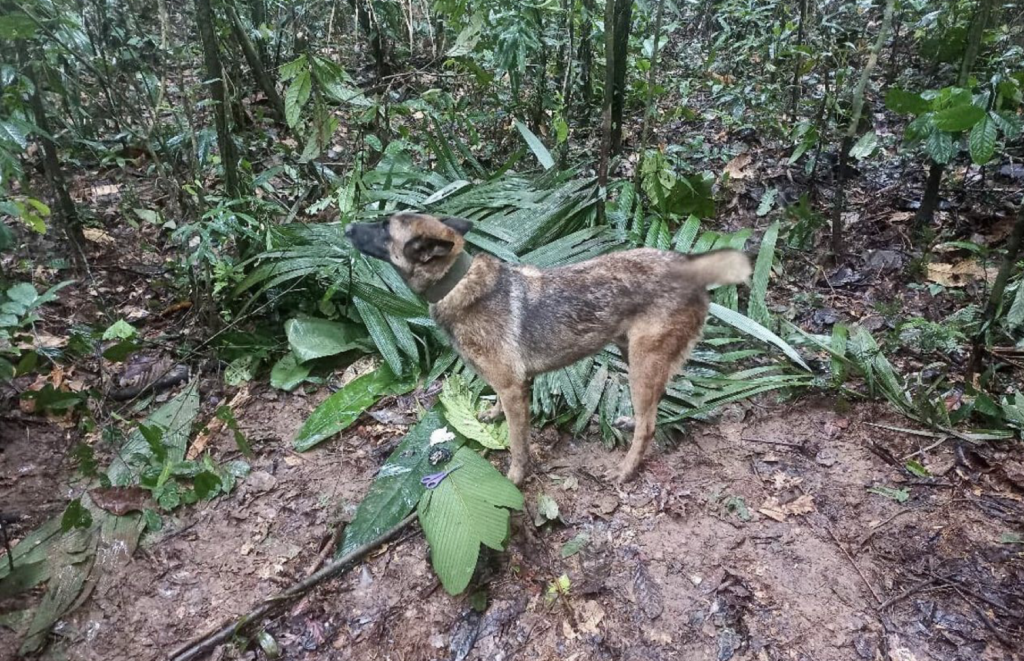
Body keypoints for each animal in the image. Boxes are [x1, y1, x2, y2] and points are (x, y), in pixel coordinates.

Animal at [344, 213, 753, 487]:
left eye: (383, 227)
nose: (346, 228)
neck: (457, 282)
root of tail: (689, 267)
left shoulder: (514, 389)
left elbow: (517, 444)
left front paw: (515, 477)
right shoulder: (509, 385)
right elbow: (499, 407)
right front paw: (492, 414)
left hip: (642, 361)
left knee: (650, 423)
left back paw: (626, 469)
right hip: (632, 354)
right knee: (652, 407)